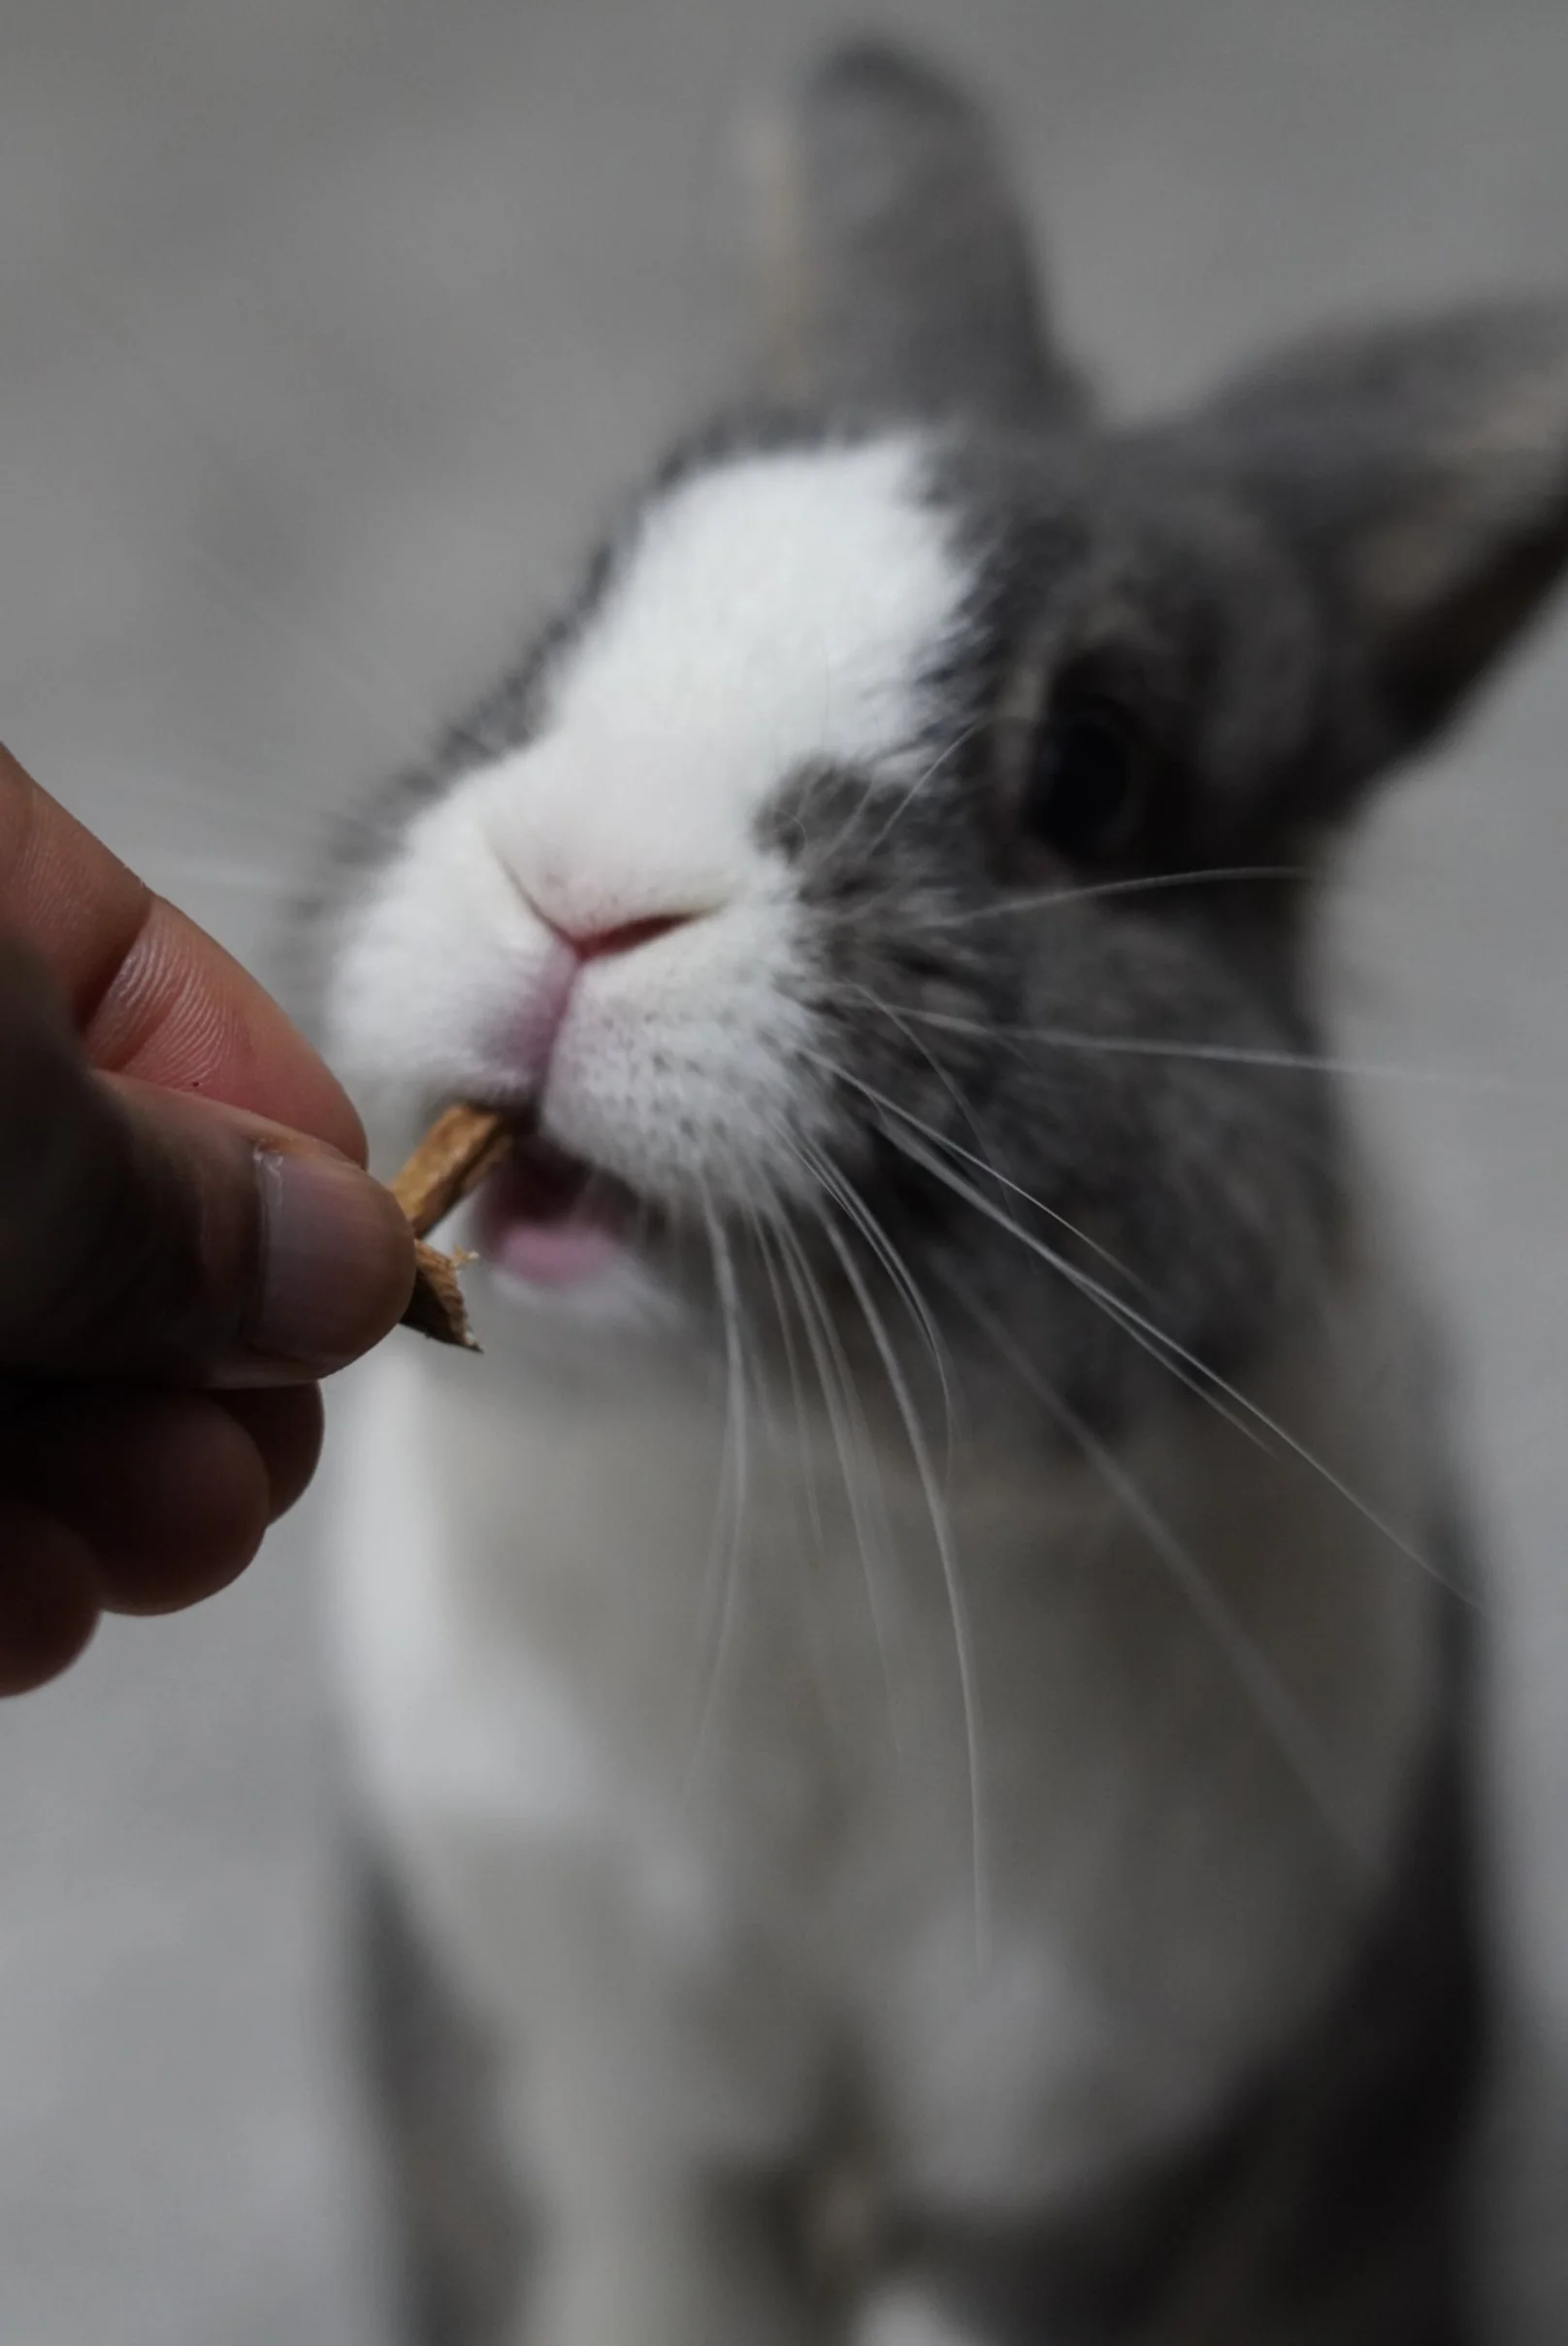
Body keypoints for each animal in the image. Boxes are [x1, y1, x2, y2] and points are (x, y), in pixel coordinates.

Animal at [316, 37, 1568, 2346]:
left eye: (1094, 767)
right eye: (576, 605)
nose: (580, 890)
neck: (786, 1508)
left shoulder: (1085, 2148)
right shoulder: (598, 2095)